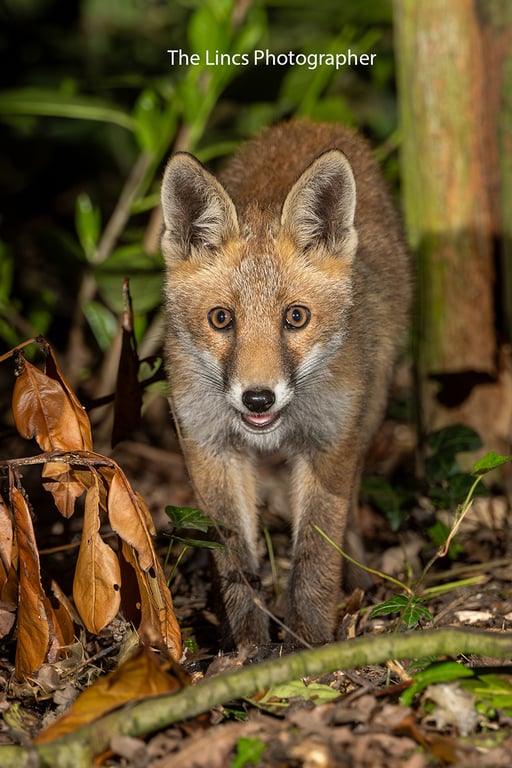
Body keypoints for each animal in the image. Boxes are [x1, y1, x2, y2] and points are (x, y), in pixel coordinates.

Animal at [160, 120, 411, 648]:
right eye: (221, 319)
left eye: (296, 317)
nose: (258, 397)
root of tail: (312, 123)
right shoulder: (210, 446)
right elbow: (234, 558)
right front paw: (248, 644)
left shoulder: (329, 441)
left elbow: (316, 554)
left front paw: (309, 642)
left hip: (368, 412)